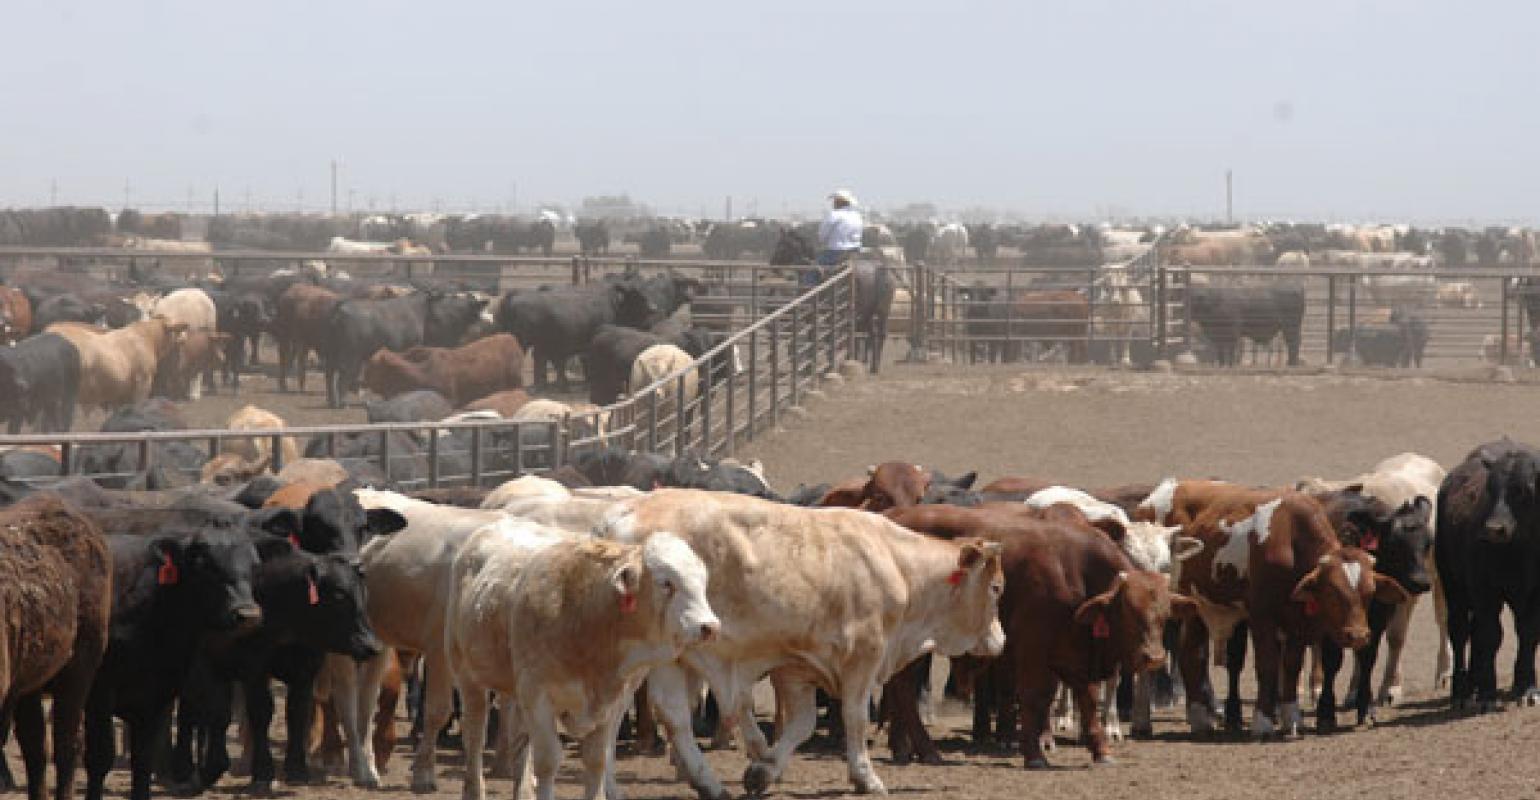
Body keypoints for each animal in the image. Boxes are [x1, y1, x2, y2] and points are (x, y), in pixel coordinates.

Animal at [446, 520, 719, 800]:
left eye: (702, 582)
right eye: (666, 582)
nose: (709, 626)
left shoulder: (608, 703)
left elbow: (596, 759)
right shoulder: (538, 696)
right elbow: (548, 761)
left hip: (515, 691)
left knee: (518, 740)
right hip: (467, 675)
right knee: (475, 735)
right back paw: (474, 789)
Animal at [597, 489, 1006, 798]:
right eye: (997, 588)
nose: (1001, 640)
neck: (896, 566)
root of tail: (624, 513)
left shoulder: (797, 666)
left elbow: (803, 724)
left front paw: (763, 770)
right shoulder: (863, 657)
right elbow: (855, 717)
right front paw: (866, 777)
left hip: (668, 659)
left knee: (668, 716)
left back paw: (702, 783)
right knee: (625, 715)